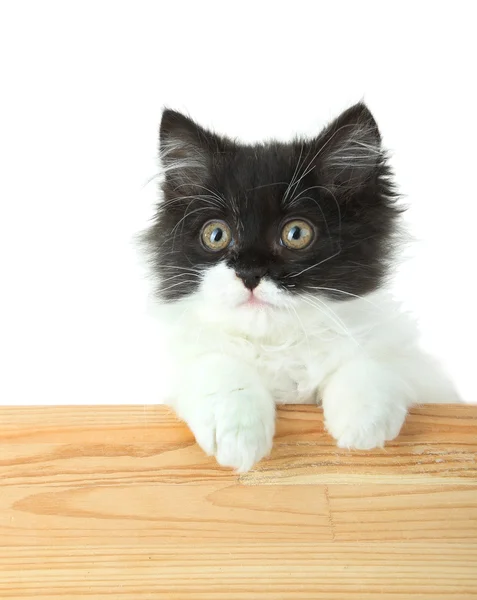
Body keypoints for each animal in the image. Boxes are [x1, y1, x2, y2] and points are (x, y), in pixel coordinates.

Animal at [142, 104, 458, 474]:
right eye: (216, 235)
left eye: (296, 234)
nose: (249, 273)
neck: (280, 346)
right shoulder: (180, 365)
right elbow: (215, 364)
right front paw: (238, 435)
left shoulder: (426, 377)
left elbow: (378, 360)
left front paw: (363, 421)